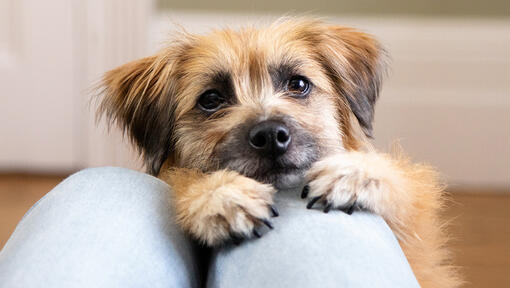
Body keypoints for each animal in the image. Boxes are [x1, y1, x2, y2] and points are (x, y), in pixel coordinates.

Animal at [97, 18, 460, 288]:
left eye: (298, 84)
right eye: (211, 99)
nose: (271, 136)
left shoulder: (419, 233)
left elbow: (404, 183)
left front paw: (354, 173)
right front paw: (221, 195)